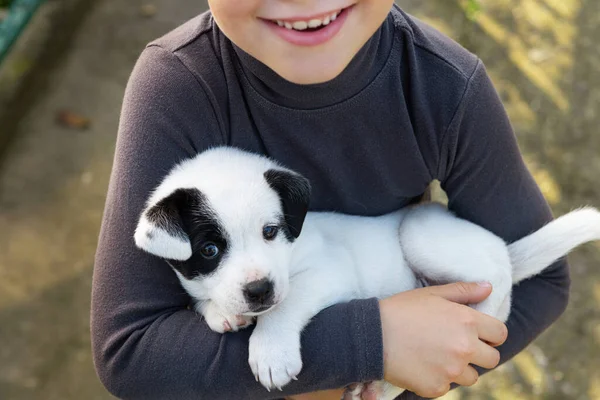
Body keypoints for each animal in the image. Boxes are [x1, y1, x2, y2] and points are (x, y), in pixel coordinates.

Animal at [135, 147, 600, 400]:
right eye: (210, 250)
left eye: (270, 232)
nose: (259, 290)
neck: (293, 246)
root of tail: (503, 247)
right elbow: (204, 296)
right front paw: (220, 311)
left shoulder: (329, 271)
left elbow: (288, 304)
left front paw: (270, 351)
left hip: (421, 232)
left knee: (493, 285)